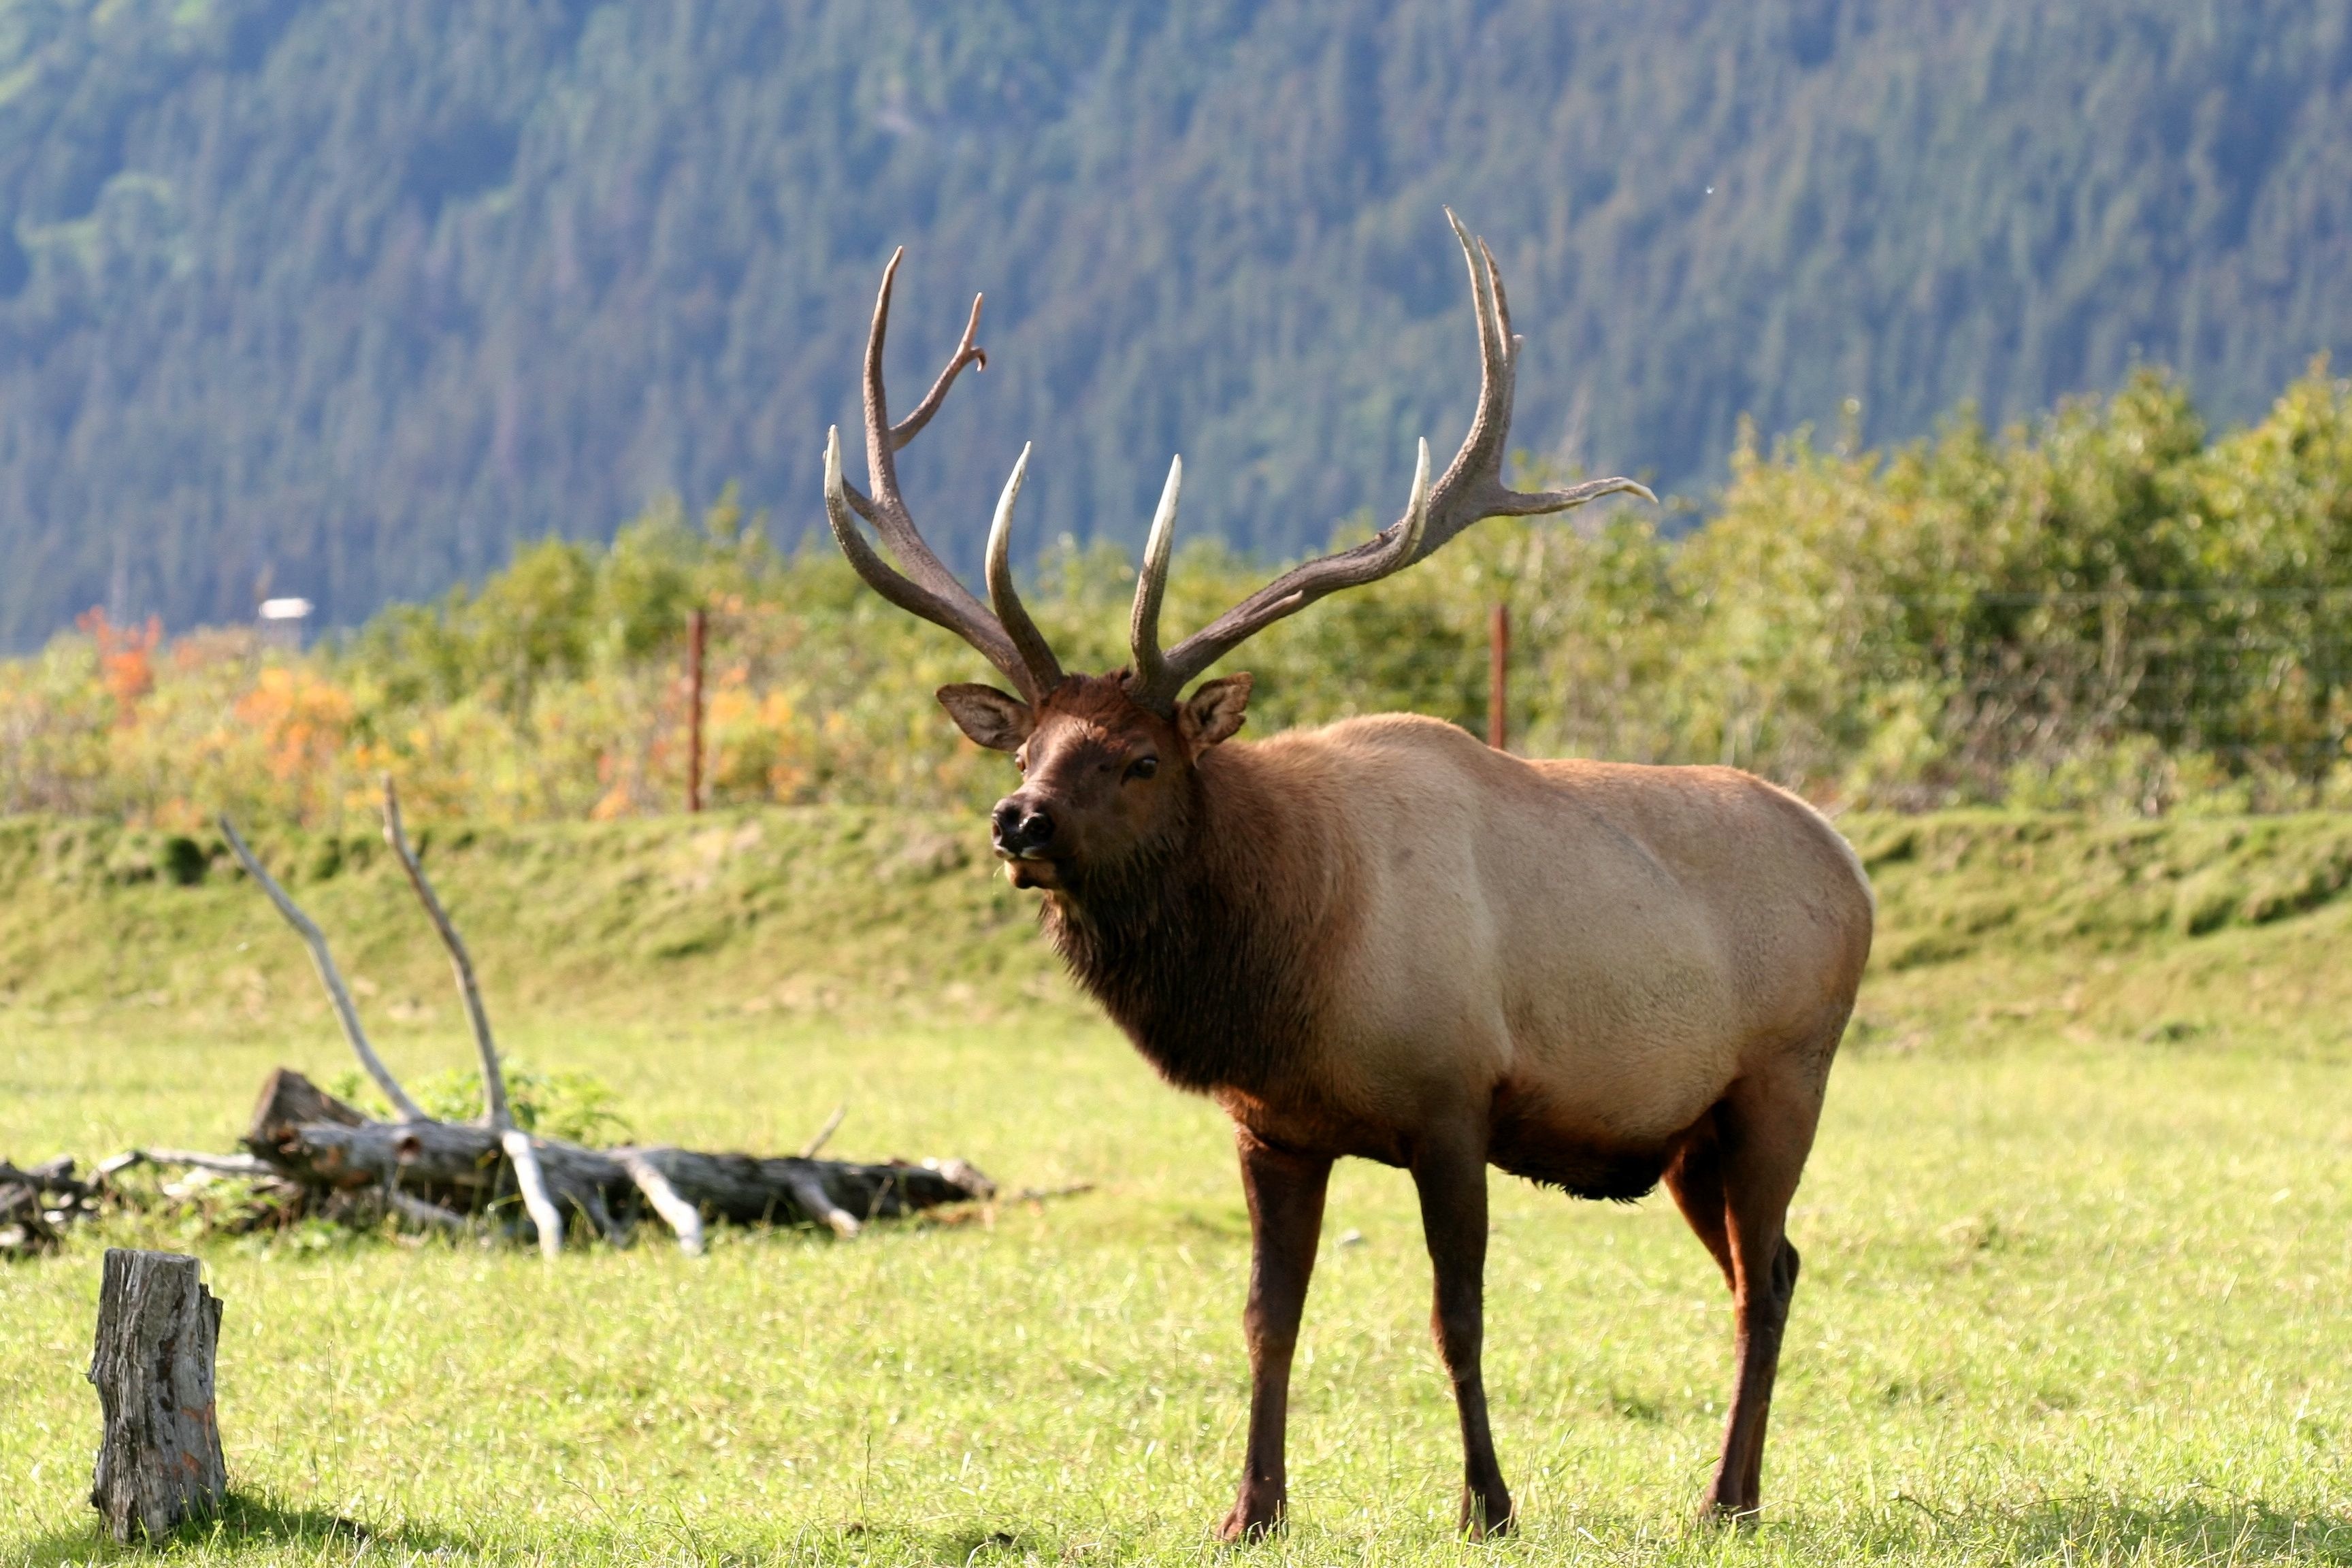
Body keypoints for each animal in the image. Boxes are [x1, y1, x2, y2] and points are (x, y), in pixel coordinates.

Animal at [828, 215, 1872, 1542]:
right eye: (1026, 747)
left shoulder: (1453, 1101)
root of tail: (1849, 859)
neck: (1289, 961)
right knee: (1770, 1261)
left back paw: (1724, 1496)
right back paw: (1733, 1487)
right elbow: (1267, 1320)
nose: (1018, 821)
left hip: (1785, 1077)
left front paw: (1488, 1503)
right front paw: (1250, 1508)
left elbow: (1456, 1317)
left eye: (1139, 757)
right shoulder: (1272, 1127)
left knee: (1766, 1276)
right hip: (1691, 1133)